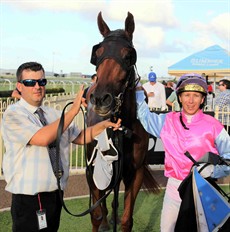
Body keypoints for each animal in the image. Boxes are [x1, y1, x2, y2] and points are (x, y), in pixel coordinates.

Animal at [85, 11, 159, 231]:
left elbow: (127, 219)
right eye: (98, 53)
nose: (101, 98)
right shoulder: (92, 172)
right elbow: (96, 215)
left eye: (128, 55)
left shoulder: (135, 173)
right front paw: (102, 219)